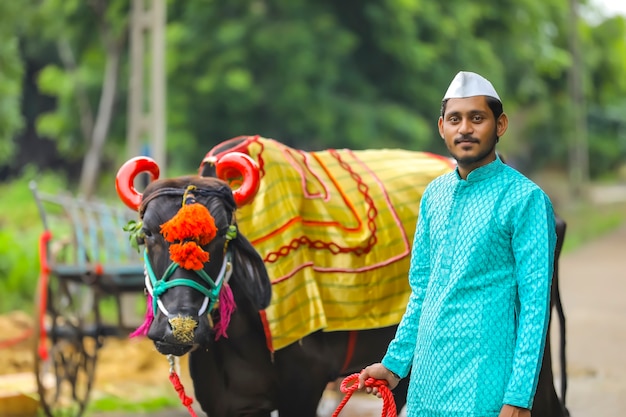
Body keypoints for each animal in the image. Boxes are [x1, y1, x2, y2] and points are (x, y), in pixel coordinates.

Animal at [116, 147, 564, 416]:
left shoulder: (302, 388)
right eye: (148, 234)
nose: (179, 328)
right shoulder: (225, 403)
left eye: (222, 236)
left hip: (532, 364)